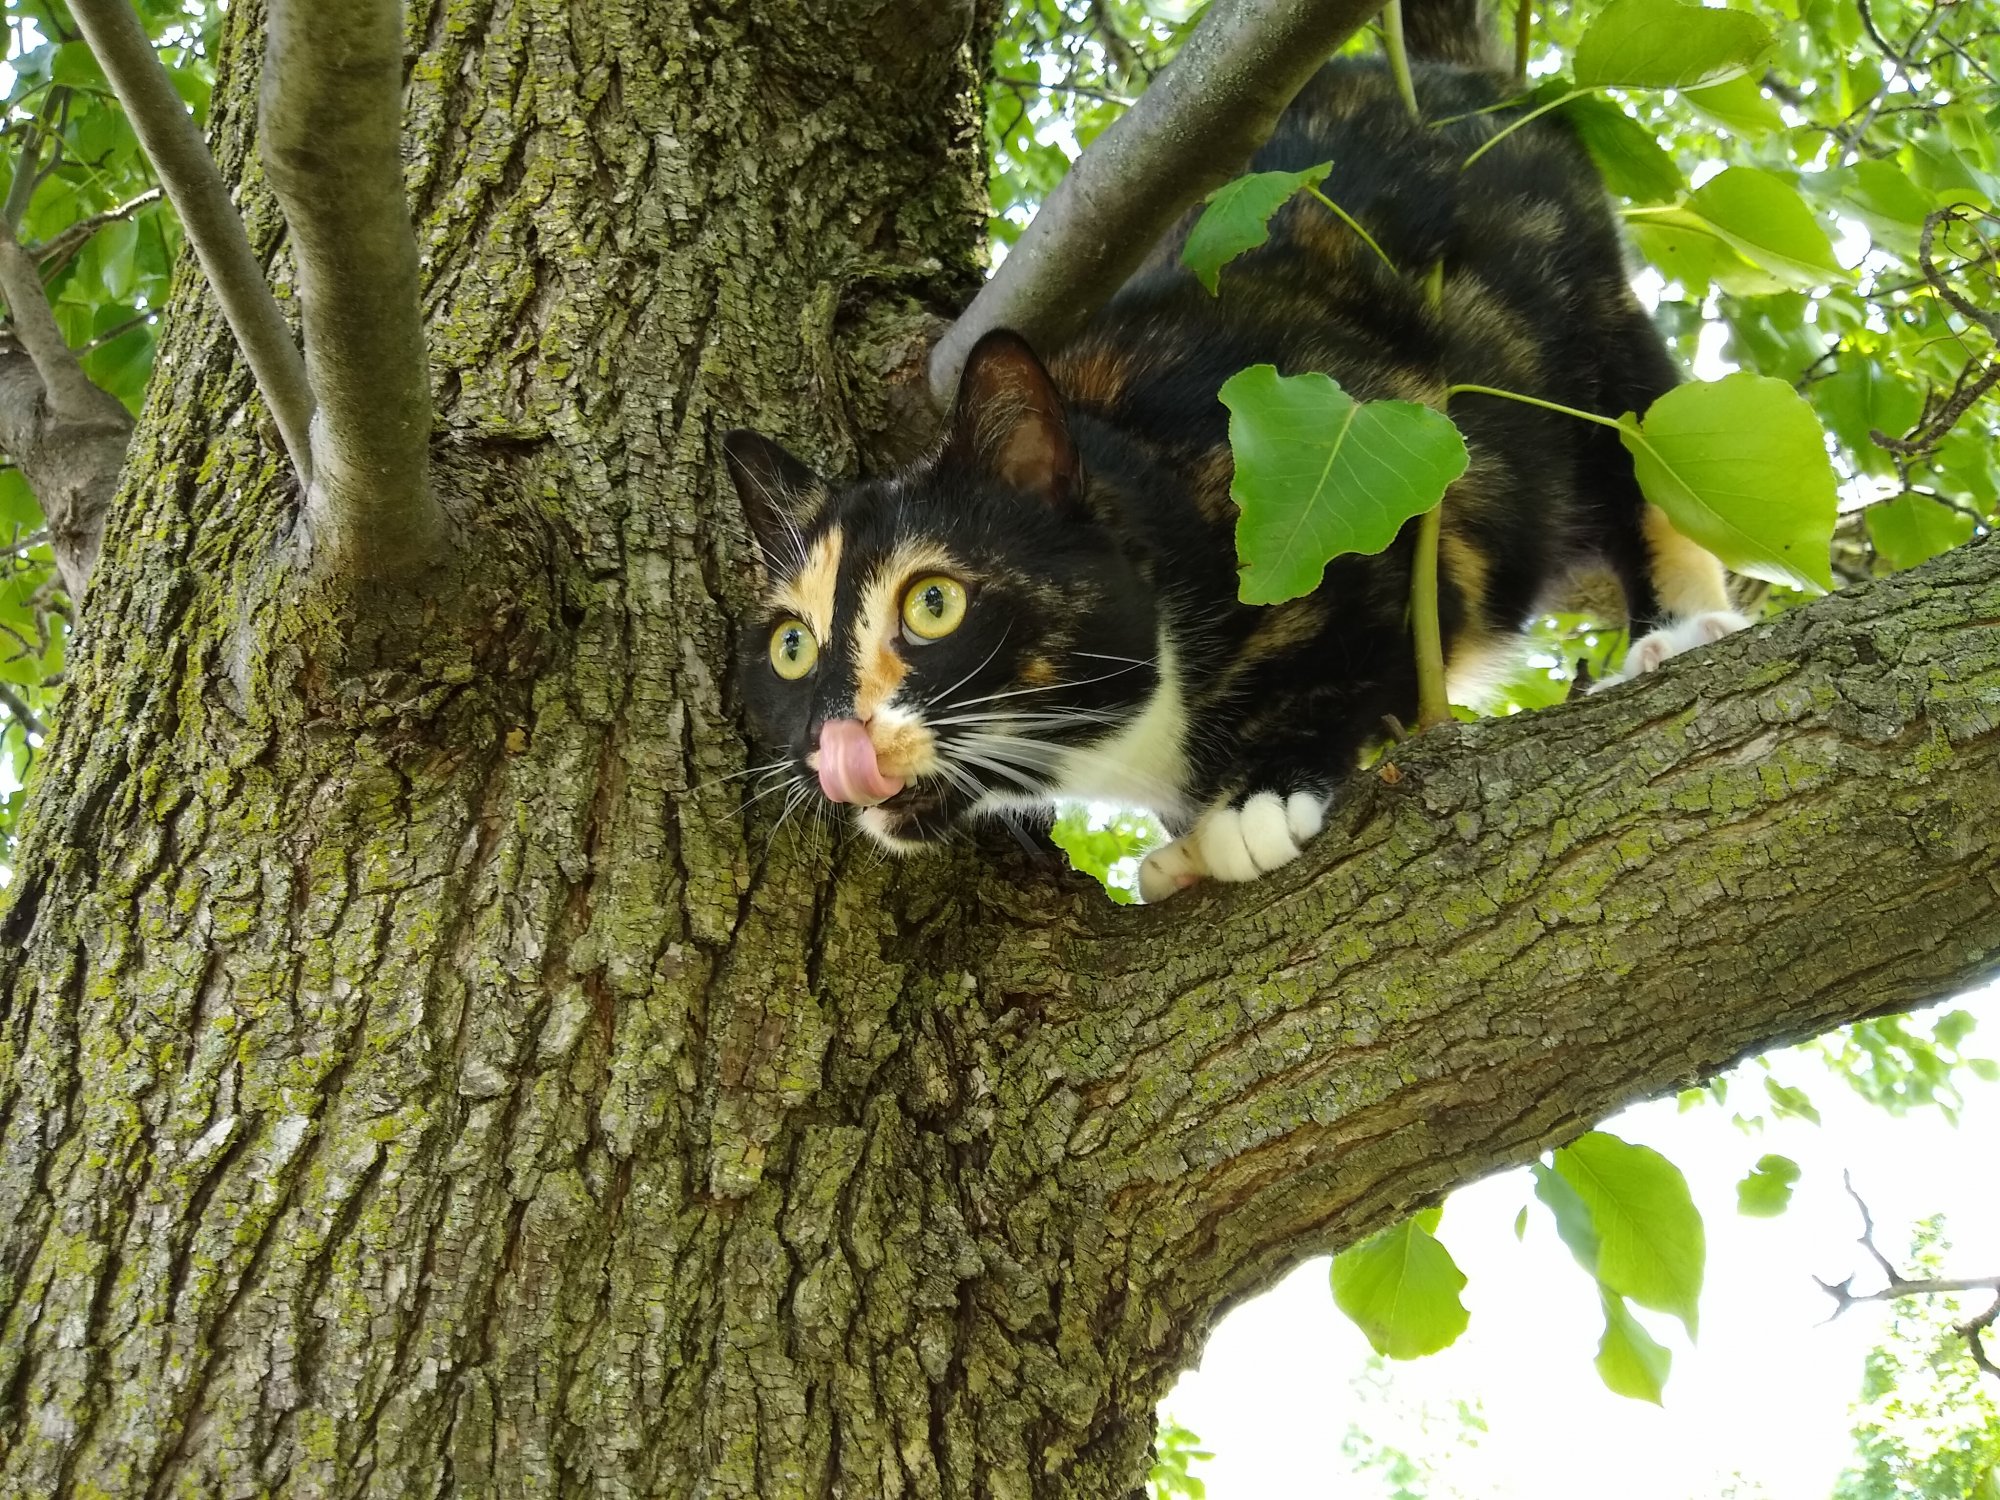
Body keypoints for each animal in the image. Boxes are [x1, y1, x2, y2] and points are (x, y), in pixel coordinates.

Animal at [728, 0, 1744, 904]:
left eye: (933, 603)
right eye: (790, 646)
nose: (830, 740)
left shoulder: (1390, 487)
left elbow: (1360, 654)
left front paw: (1257, 798)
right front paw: (1187, 845)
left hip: (1584, 328)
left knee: (1639, 455)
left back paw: (1677, 629)